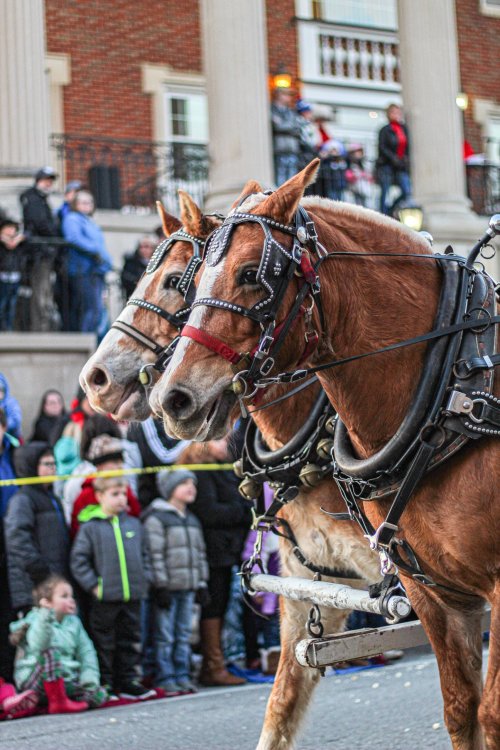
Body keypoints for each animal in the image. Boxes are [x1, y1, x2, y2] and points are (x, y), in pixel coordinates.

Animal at [153, 161, 500, 750]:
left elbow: (491, 715)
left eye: (252, 274)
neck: (455, 385)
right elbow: (459, 710)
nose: (172, 398)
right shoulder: (422, 592)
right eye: (193, 282)